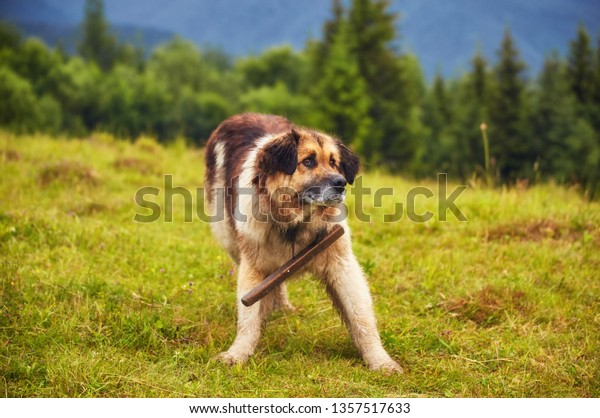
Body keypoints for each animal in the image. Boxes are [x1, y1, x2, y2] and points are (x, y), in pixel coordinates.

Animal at [204, 112, 400, 372]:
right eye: (308, 161)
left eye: (334, 162)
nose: (341, 183)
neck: (296, 224)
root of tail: (241, 115)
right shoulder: (252, 266)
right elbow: (248, 316)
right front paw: (237, 353)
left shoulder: (341, 264)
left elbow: (361, 317)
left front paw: (380, 361)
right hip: (227, 235)